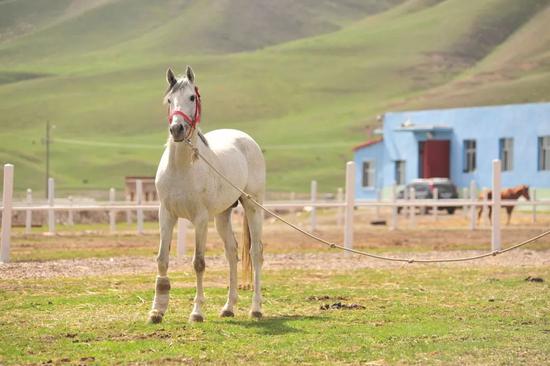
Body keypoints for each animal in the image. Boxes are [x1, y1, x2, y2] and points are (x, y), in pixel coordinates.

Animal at [149, 66, 266, 324]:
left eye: (192, 97)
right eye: (169, 100)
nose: (177, 129)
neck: (182, 168)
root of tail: (246, 139)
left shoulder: (200, 219)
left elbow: (199, 263)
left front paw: (197, 312)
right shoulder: (166, 214)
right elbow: (162, 259)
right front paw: (157, 310)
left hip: (253, 207)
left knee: (256, 253)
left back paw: (256, 308)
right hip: (222, 215)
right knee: (232, 253)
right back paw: (228, 307)